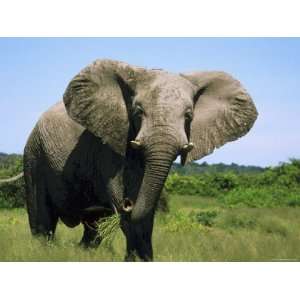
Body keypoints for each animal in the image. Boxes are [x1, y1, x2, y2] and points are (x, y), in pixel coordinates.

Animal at [22, 58, 256, 260]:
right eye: (138, 112)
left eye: (189, 116)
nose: (128, 202)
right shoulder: (109, 143)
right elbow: (121, 198)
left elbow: (147, 211)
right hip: (34, 155)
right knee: (42, 220)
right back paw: (43, 252)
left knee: (93, 227)